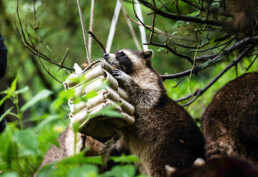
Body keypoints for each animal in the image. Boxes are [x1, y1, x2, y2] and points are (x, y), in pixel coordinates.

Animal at [103, 48, 206, 177]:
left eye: (122, 54)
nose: (105, 55)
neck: (131, 71)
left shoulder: (151, 79)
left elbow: (147, 95)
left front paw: (129, 81)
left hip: (169, 150)